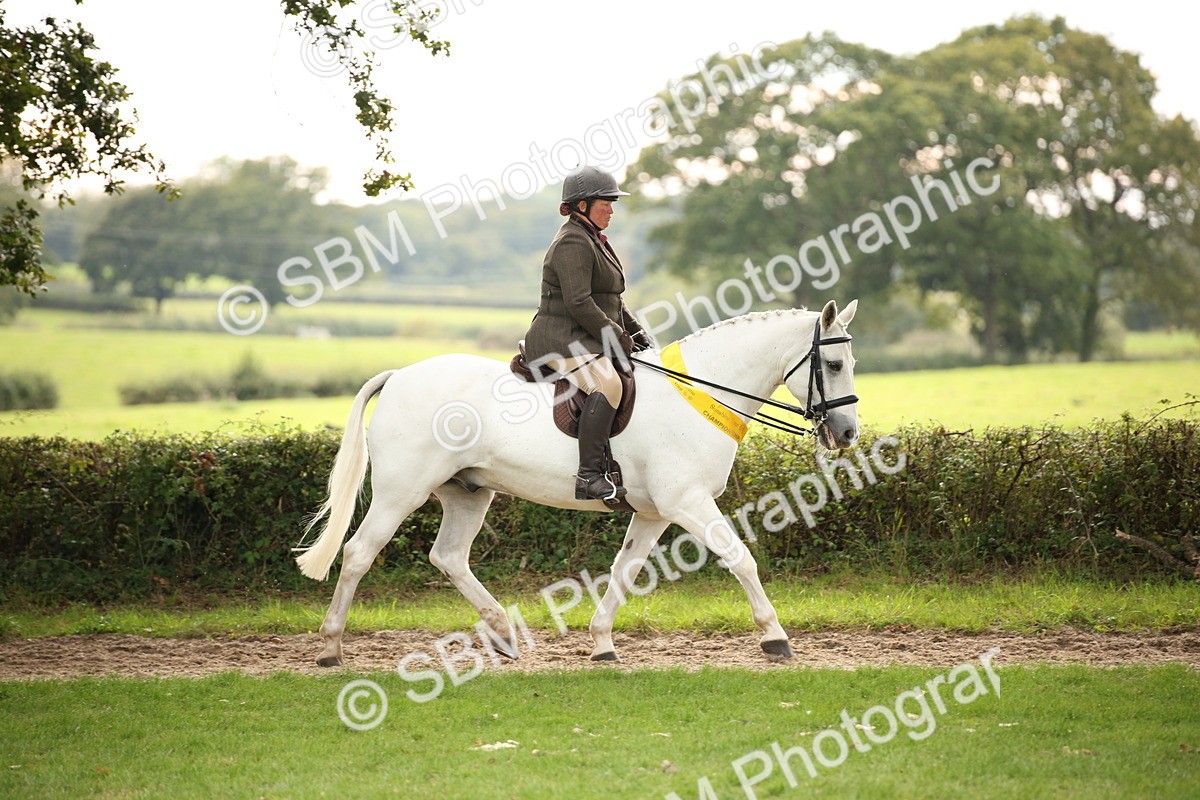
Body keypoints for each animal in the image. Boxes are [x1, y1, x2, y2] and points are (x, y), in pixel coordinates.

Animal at [296, 299, 860, 666]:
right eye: (833, 363)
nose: (848, 434)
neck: (698, 394)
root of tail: (399, 375)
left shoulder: (653, 513)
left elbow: (624, 571)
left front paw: (602, 643)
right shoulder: (688, 502)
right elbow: (741, 558)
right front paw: (775, 638)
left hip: (469, 492)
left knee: (449, 556)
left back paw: (503, 635)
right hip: (401, 492)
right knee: (359, 553)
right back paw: (330, 648)